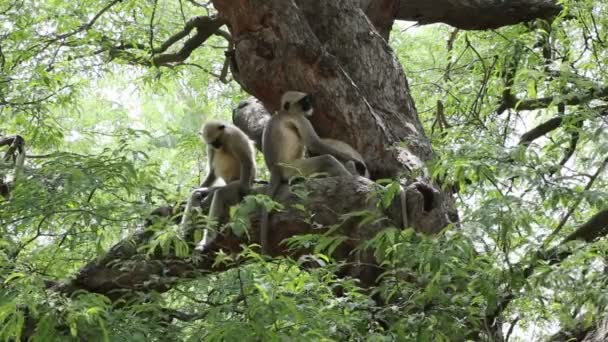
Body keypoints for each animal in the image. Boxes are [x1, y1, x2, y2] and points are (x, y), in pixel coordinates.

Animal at [180, 120, 256, 251]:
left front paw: (245, 189)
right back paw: (182, 234)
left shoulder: (234, 136)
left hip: (236, 184)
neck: (224, 138)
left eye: (216, 140)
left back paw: (207, 240)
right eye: (211, 143)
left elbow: (246, 160)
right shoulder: (209, 147)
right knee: (198, 193)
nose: (216, 146)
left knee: (220, 193)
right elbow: (212, 172)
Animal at [260, 91, 368, 254]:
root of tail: (275, 168)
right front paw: (356, 163)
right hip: (295, 167)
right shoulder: (300, 119)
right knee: (326, 159)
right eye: (304, 101)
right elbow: (315, 144)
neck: (285, 112)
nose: (310, 104)